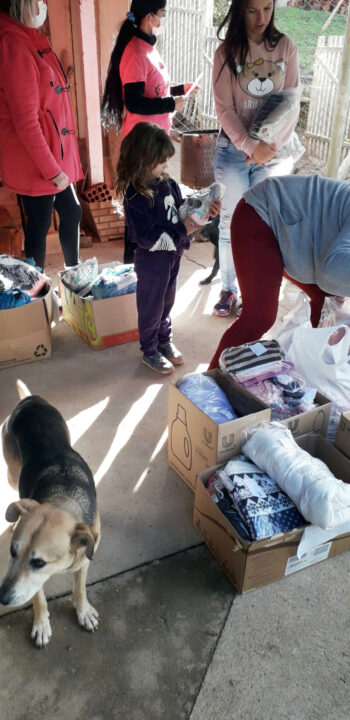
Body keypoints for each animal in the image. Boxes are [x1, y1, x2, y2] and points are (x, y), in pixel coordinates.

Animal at [0, 382, 101, 648]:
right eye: (12, 552)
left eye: (39, 562)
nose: (1, 597)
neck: (62, 498)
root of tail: (29, 400)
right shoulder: (32, 582)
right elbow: (38, 598)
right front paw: (41, 624)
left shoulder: (84, 559)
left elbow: (79, 589)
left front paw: (83, 611)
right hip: (11, 472)